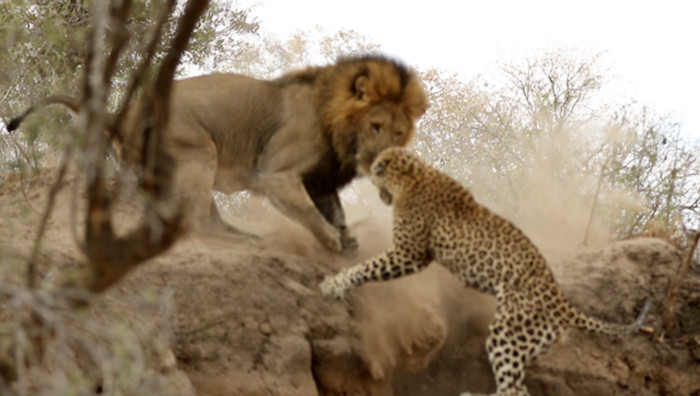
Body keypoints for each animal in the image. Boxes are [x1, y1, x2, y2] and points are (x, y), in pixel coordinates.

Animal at [6, 54, 426, 252]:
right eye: (376, 126)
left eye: (399, 132)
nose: (383, 162)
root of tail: (123, 113)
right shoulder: (276, 173)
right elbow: (311, 214)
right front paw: (333, 243)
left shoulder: (319, 180)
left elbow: (333, 212)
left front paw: (347, 241)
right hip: (198, 151)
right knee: (197, 222)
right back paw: (240, 240)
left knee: (199, 215)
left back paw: (243, 235)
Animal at [320, 148, 652, 396]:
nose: (381, 196)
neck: (413, 174)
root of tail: (562, 302)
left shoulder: (410, 254)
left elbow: (369, 267)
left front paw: (334, 283)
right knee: (518, 388)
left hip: (507, 334)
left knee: (513, 390)